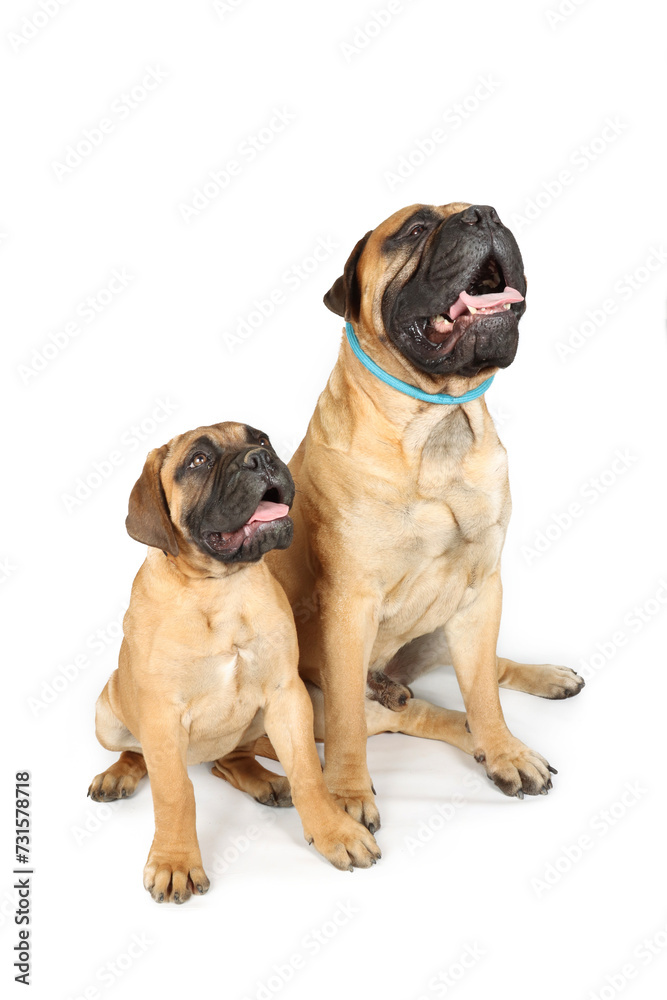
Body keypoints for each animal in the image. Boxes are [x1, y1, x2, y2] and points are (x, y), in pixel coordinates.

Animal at [88, 418, 380, 904]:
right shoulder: (161, 714)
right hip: (108, 713)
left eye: (261, 439)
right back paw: (120, 773)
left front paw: (333, 830)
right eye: (199, 460)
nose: (260, 459)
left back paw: (265, 780)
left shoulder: (286, 695)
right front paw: (175, 862)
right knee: (138, 751)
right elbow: (174, 792)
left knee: (230, 759)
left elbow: (307, 772)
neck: (222, 588)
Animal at [266, 203, 584, 836]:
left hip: (447, 624)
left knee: (485, 672)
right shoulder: (350, 603)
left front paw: (505, 750)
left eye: (488, 210)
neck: (437, 424)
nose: (483, 214)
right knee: (405, 716)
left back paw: (540, 685)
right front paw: (346, 793)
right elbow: (350, 720)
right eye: (414, 229)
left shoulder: (482, 589)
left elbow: (483, 688)